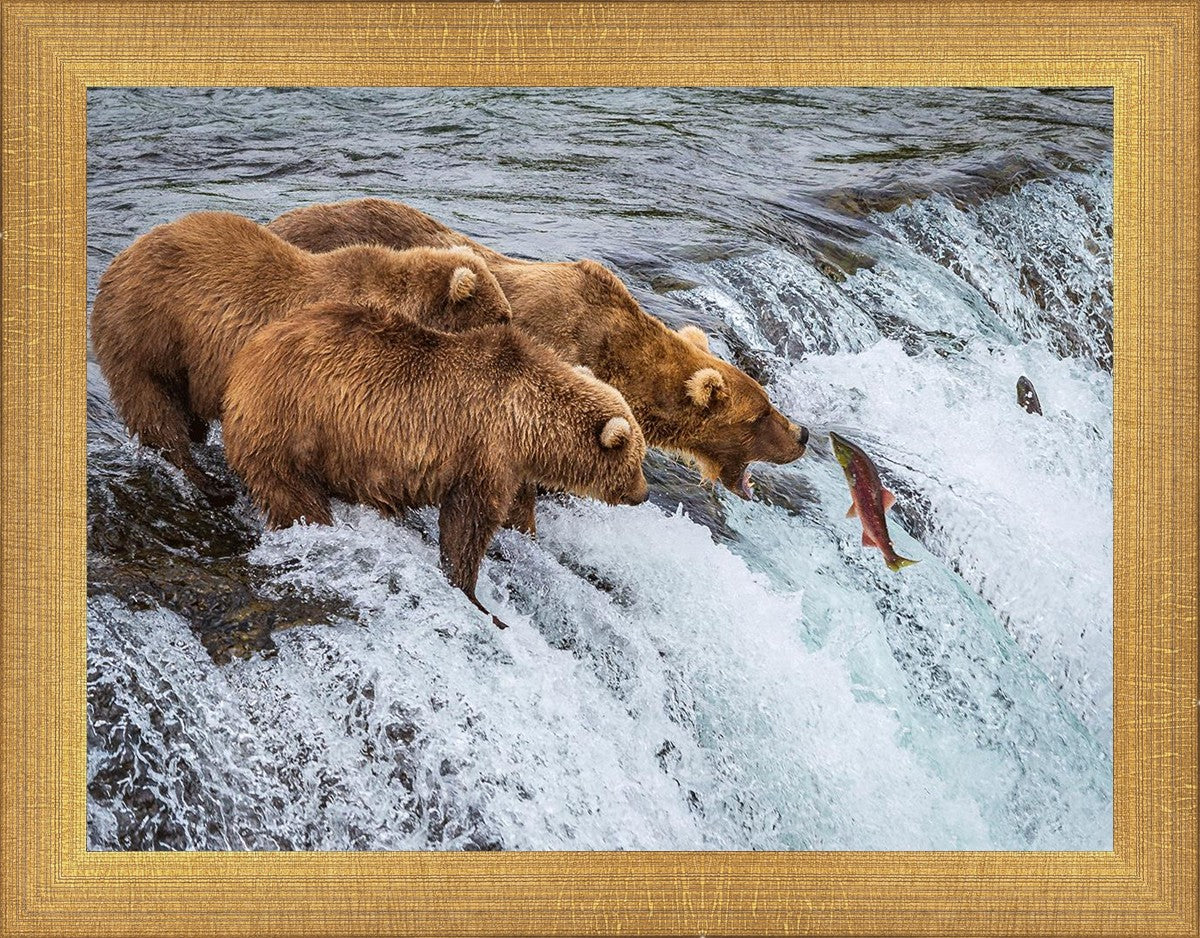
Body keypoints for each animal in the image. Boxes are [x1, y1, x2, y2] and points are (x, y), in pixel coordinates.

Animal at [90, 210, 512, 503]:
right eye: (502, 316)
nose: (514, 333)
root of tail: (119, 260)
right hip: (148, 333)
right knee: (154, 408)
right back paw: (207, 482)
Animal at [222, 301, 649, 629]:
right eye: (637, 460)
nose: (643, 494)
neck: (528, 422)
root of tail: (245, 359)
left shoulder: (511, 465)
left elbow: (516, 511)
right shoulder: (484, 448)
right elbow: (468, 523)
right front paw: (476, 598)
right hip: (291, 426)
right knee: (294, 495)